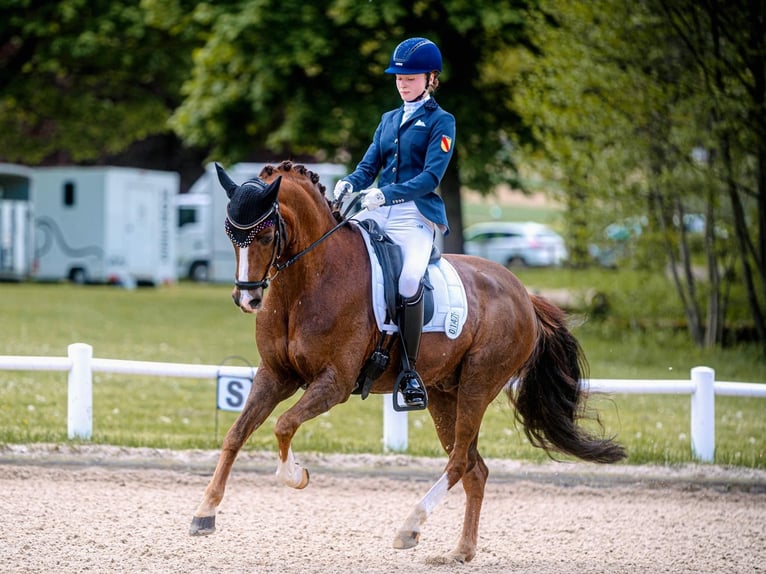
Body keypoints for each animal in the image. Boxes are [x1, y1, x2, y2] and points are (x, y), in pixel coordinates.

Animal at [189, 160, 628, 564]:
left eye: (264, 234)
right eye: (231, 235)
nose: (247, 299)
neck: (308, 282)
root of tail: (524, 293)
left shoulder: (334, 383)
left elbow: (283, 425)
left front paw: (296, 476)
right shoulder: (275, 375)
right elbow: (236, 434)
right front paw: (204, 513)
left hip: (478, 386)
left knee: (458, 462)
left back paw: (410, 527)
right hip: (443, 394)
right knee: (475, 468)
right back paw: (460, 552)